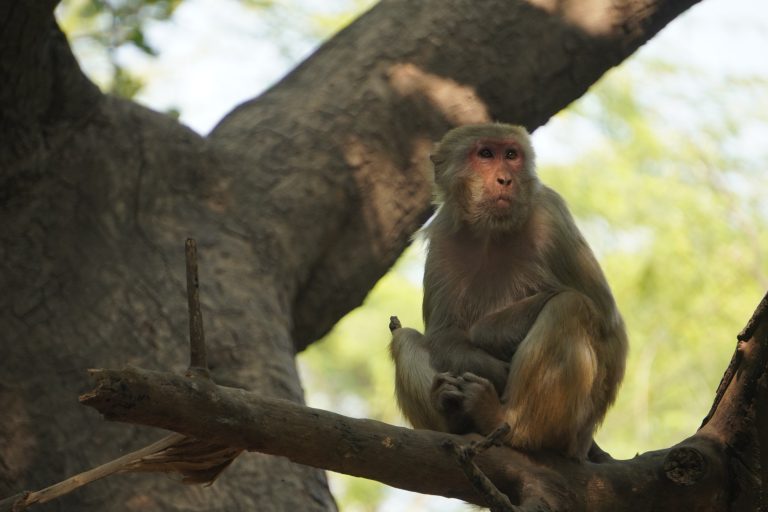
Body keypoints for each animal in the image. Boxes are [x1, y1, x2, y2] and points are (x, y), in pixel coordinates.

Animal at [388, 122, 628, 458]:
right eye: (486, 154)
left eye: (512, 155)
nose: (505, 179)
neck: (492, 231)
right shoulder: (444, 237)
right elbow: (444, 336)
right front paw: (488, 369)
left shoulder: (550, 214)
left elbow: (604, 315)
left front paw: (490, 339)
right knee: (405, 338)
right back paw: (451, 415)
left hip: (574, 427)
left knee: (569, 307)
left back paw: (510, 425)